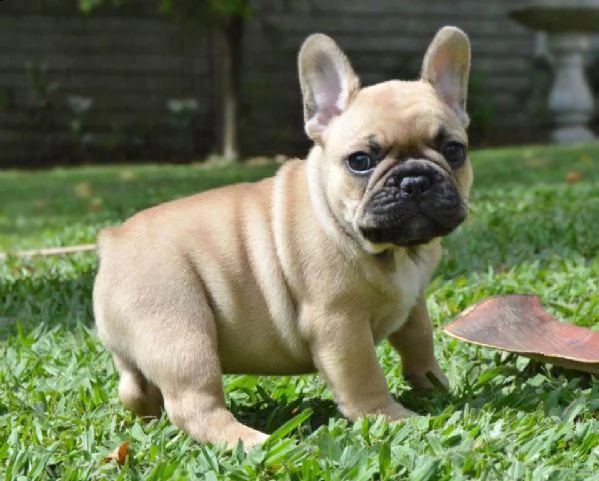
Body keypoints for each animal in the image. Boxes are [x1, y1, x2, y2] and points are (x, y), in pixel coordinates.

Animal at [95, 25, 474, 446]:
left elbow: (418, 337)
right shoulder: (339, 326)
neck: (393, 251)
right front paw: (389, 417)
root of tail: (113, 241)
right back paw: (254, 443)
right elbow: (363, 377)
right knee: (195, 406)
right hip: (182, 333)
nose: (415, 180)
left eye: (454, 151)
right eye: (360, 161)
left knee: (135, 390)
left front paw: (434, 383)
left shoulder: (414, 301)